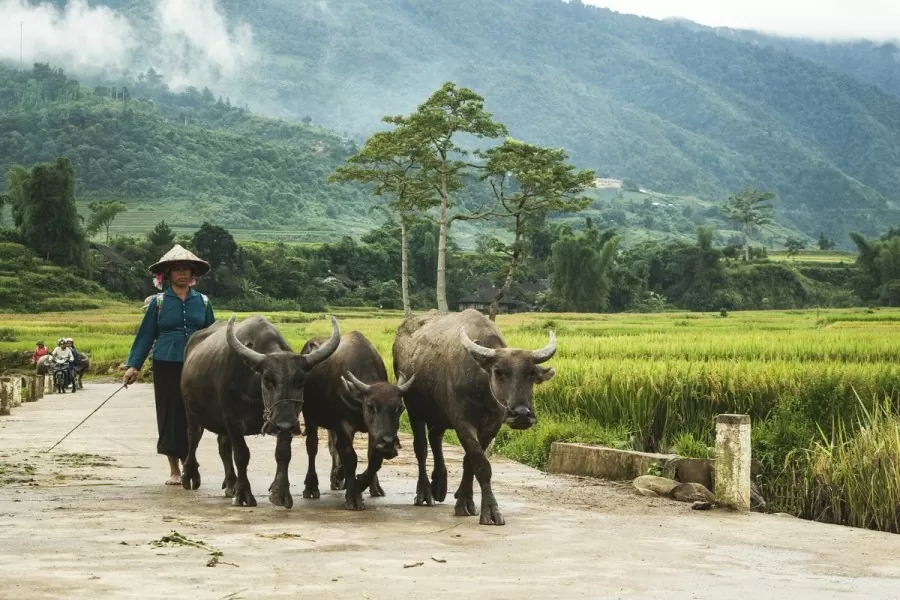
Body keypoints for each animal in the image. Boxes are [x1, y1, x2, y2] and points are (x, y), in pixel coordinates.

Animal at [179, 316, 342, 508]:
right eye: (267, 379)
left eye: (301, 381)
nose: (285, 424)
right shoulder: (233, 421)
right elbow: (242, 455)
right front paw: (243, 494)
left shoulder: (284, 421)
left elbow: (283, 454)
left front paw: (280, 492)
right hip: (191, 412)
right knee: (193, 438)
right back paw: (190, 476)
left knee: (223, 446)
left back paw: (231, 483)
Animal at [300, 332, 416, 510]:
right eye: (370, 406)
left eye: (400, 408)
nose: (389, 443)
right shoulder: (343, 426)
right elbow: (350, 457)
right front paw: (353, 496)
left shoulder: (373, 433)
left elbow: (374, 459)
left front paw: (359, 482)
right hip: (309, 417)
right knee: (312, 448)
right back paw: (312, 487)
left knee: (333, 447)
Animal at [392, 310, 556, 524]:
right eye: (498, 372)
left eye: (532, 373)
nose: (521, 414)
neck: (481, 389)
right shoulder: (462, 422)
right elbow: (481, 464)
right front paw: (490, 511)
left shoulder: (492, 426)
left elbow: (469, 461)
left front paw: (465, 501)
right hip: (414, 411)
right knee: (421, 448)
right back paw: (425, 493)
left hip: (439, 415)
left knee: (435, 439)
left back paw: (440, 485)